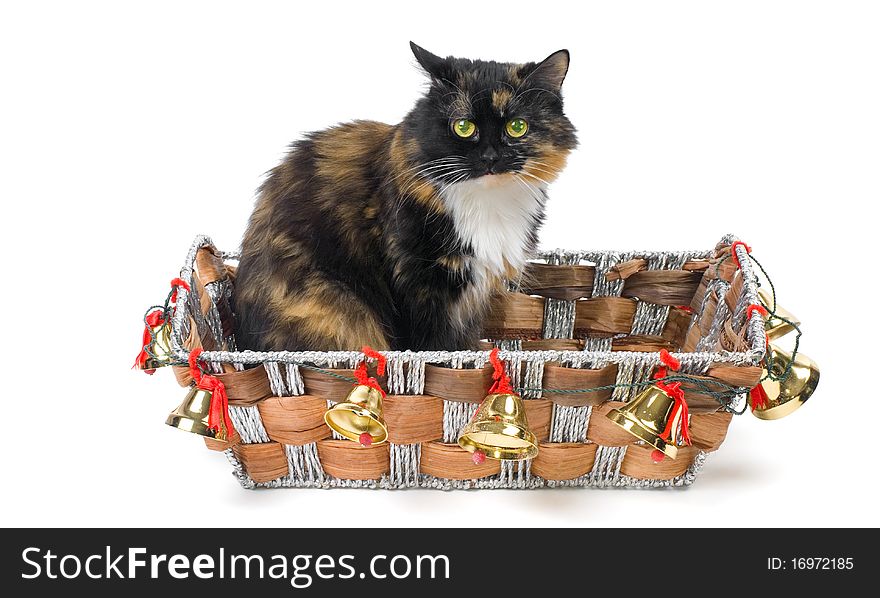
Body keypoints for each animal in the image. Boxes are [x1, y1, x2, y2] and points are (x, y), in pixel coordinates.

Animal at [232, 42, 576, 352]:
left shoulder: (476, 294)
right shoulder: (416, 282)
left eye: (517, 127)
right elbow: (432, 347)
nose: (490, 158)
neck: (487, 202)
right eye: (463, 127)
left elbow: (464, 341)